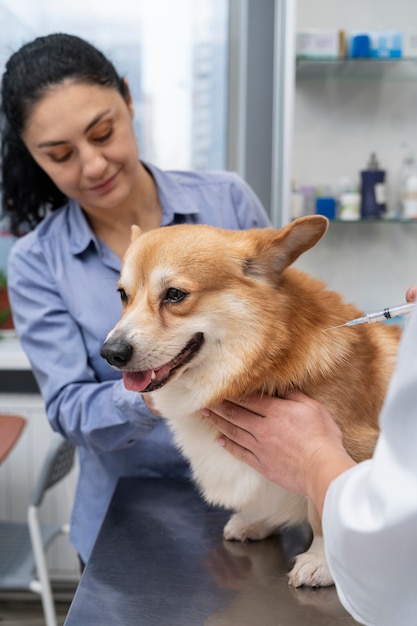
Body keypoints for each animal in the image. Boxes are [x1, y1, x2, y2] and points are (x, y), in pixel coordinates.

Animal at [100, 214, 400, 584]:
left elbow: (324, 507)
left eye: (174, 294)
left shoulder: (353, 449)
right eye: (122, 295)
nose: (110, 353)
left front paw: (321, 562)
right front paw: (257, 521)